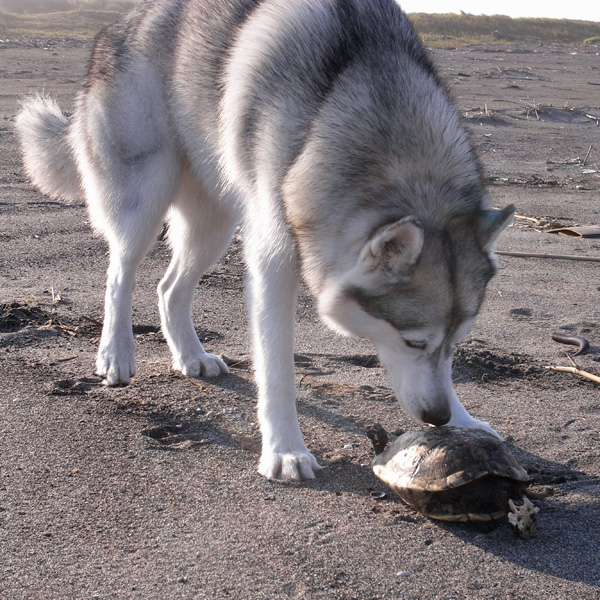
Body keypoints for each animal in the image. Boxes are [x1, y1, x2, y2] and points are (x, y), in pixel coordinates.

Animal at [18, 0, 516, 478]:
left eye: (457, 343)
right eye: (414, 343)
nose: (437, 418)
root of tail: (119, 24)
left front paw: (466, 422)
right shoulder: (274, 260)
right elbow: (277, 368)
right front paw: (285, 450)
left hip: (215, 223)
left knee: (168, 287)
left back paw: (190, 354)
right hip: (145, 195)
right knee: (120, 274)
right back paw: (116, 354)